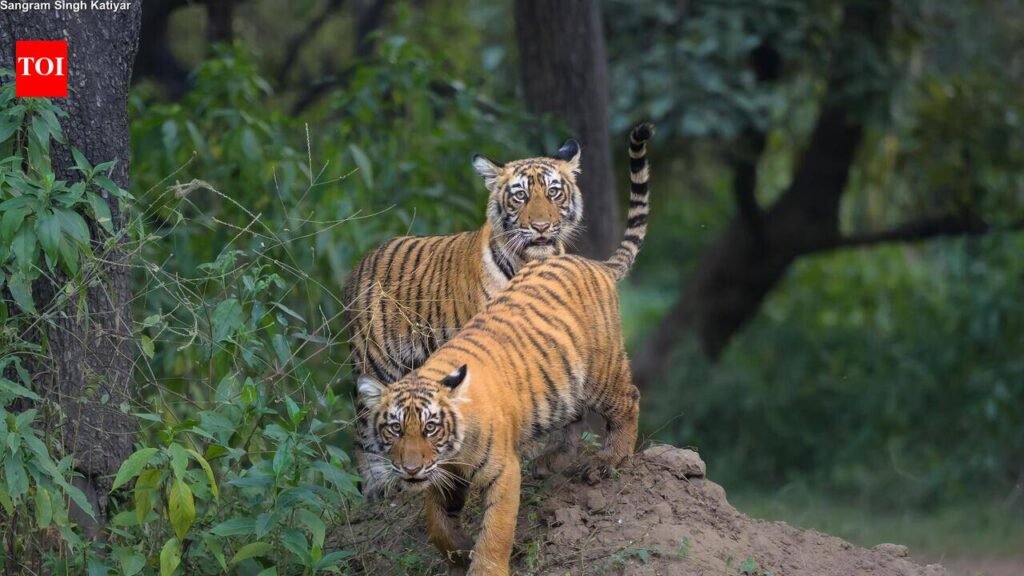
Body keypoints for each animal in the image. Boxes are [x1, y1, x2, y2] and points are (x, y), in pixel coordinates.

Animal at [342, 138, 588, 498]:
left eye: (554, 192)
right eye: (520, 196)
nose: (541, 226)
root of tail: (360, 264)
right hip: (377, 363)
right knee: (365, 431)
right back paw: (379, 488)